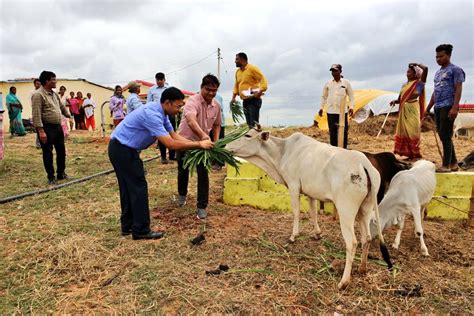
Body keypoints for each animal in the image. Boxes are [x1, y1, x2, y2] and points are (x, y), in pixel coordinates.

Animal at [227, 127, 392, 290]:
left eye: (248, 135)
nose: (227, 145)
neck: (282, 152)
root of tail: (363, 163)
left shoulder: (293, 185)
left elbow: (296, 212)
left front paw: (293, 236)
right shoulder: (310, 193)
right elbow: (313, 213)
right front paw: (317, 234)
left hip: (346, 211)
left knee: (352, 243)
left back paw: (344, 282)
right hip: (365, 208)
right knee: (367, 238)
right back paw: (362, 268)